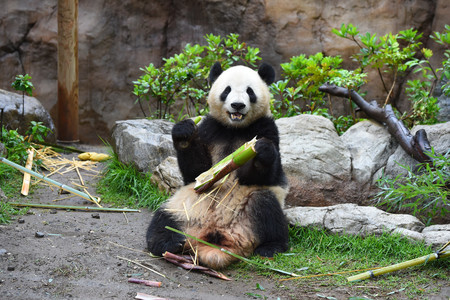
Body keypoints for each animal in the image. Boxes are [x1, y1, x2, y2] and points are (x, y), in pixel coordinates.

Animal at [146, 62, 290, 268]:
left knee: (266, 207)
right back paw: (168, 242)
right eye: (226, 90)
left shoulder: (266, 128)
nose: (237, 105)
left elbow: (265, 175)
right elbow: (196, 171)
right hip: (185, 208)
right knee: (163, 218)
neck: (234, 128)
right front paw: (183, 133)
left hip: (247, 216)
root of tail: (214, 237)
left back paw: (271, 247)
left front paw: (262, 149)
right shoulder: (210, 129)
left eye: (250, 91)